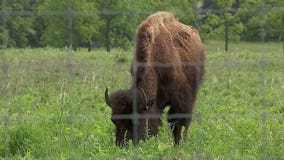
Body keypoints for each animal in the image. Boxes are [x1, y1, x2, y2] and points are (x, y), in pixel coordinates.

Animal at [104, 11, 204, 146]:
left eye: (134, 121)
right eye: (113, 120)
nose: (121, 145)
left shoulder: (180, 98)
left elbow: (177, 122)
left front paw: (178, 144)